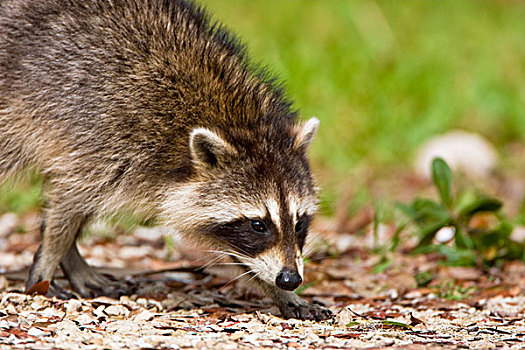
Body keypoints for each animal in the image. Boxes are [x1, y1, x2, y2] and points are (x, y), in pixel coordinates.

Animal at [0, 0, 330, 320]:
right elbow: (69, 203)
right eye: (258, 225)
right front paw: (49, 258)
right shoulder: (106, 140)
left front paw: (282, 293)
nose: (290, 279)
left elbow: (241, 254)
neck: (240, 123)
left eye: (300, 222)